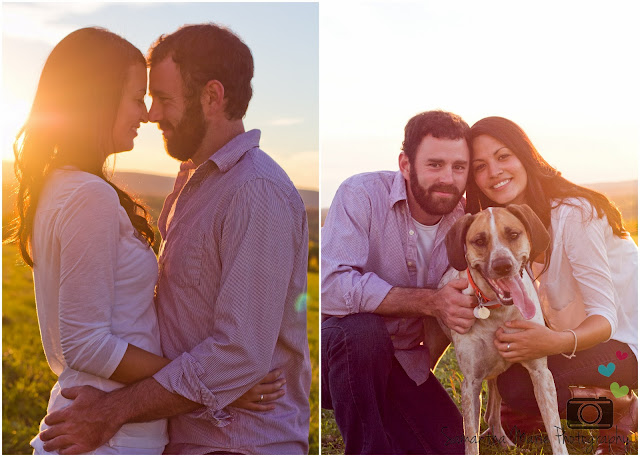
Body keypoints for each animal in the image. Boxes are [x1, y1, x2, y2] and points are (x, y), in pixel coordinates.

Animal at [438, 205, 568, 454]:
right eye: (479, 240)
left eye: (513, 234)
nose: (502, 265)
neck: (497, 311)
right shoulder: (471, 383)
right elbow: (471, 440)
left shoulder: (541, 373)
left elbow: (555, 432)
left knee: (494, 409)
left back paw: (502, 438)